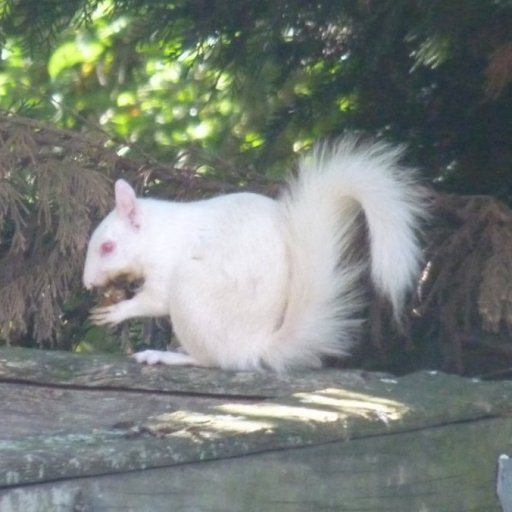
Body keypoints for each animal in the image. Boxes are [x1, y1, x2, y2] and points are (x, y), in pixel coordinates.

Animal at [83, 139, 424, 372]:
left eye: (107, 247)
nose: (87, 283)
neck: (156, 233)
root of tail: (251, 347)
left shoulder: (165, 265)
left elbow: (155, 300)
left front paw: (116, 311)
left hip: (189, 290)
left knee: (211, 359)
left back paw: (165, 355)